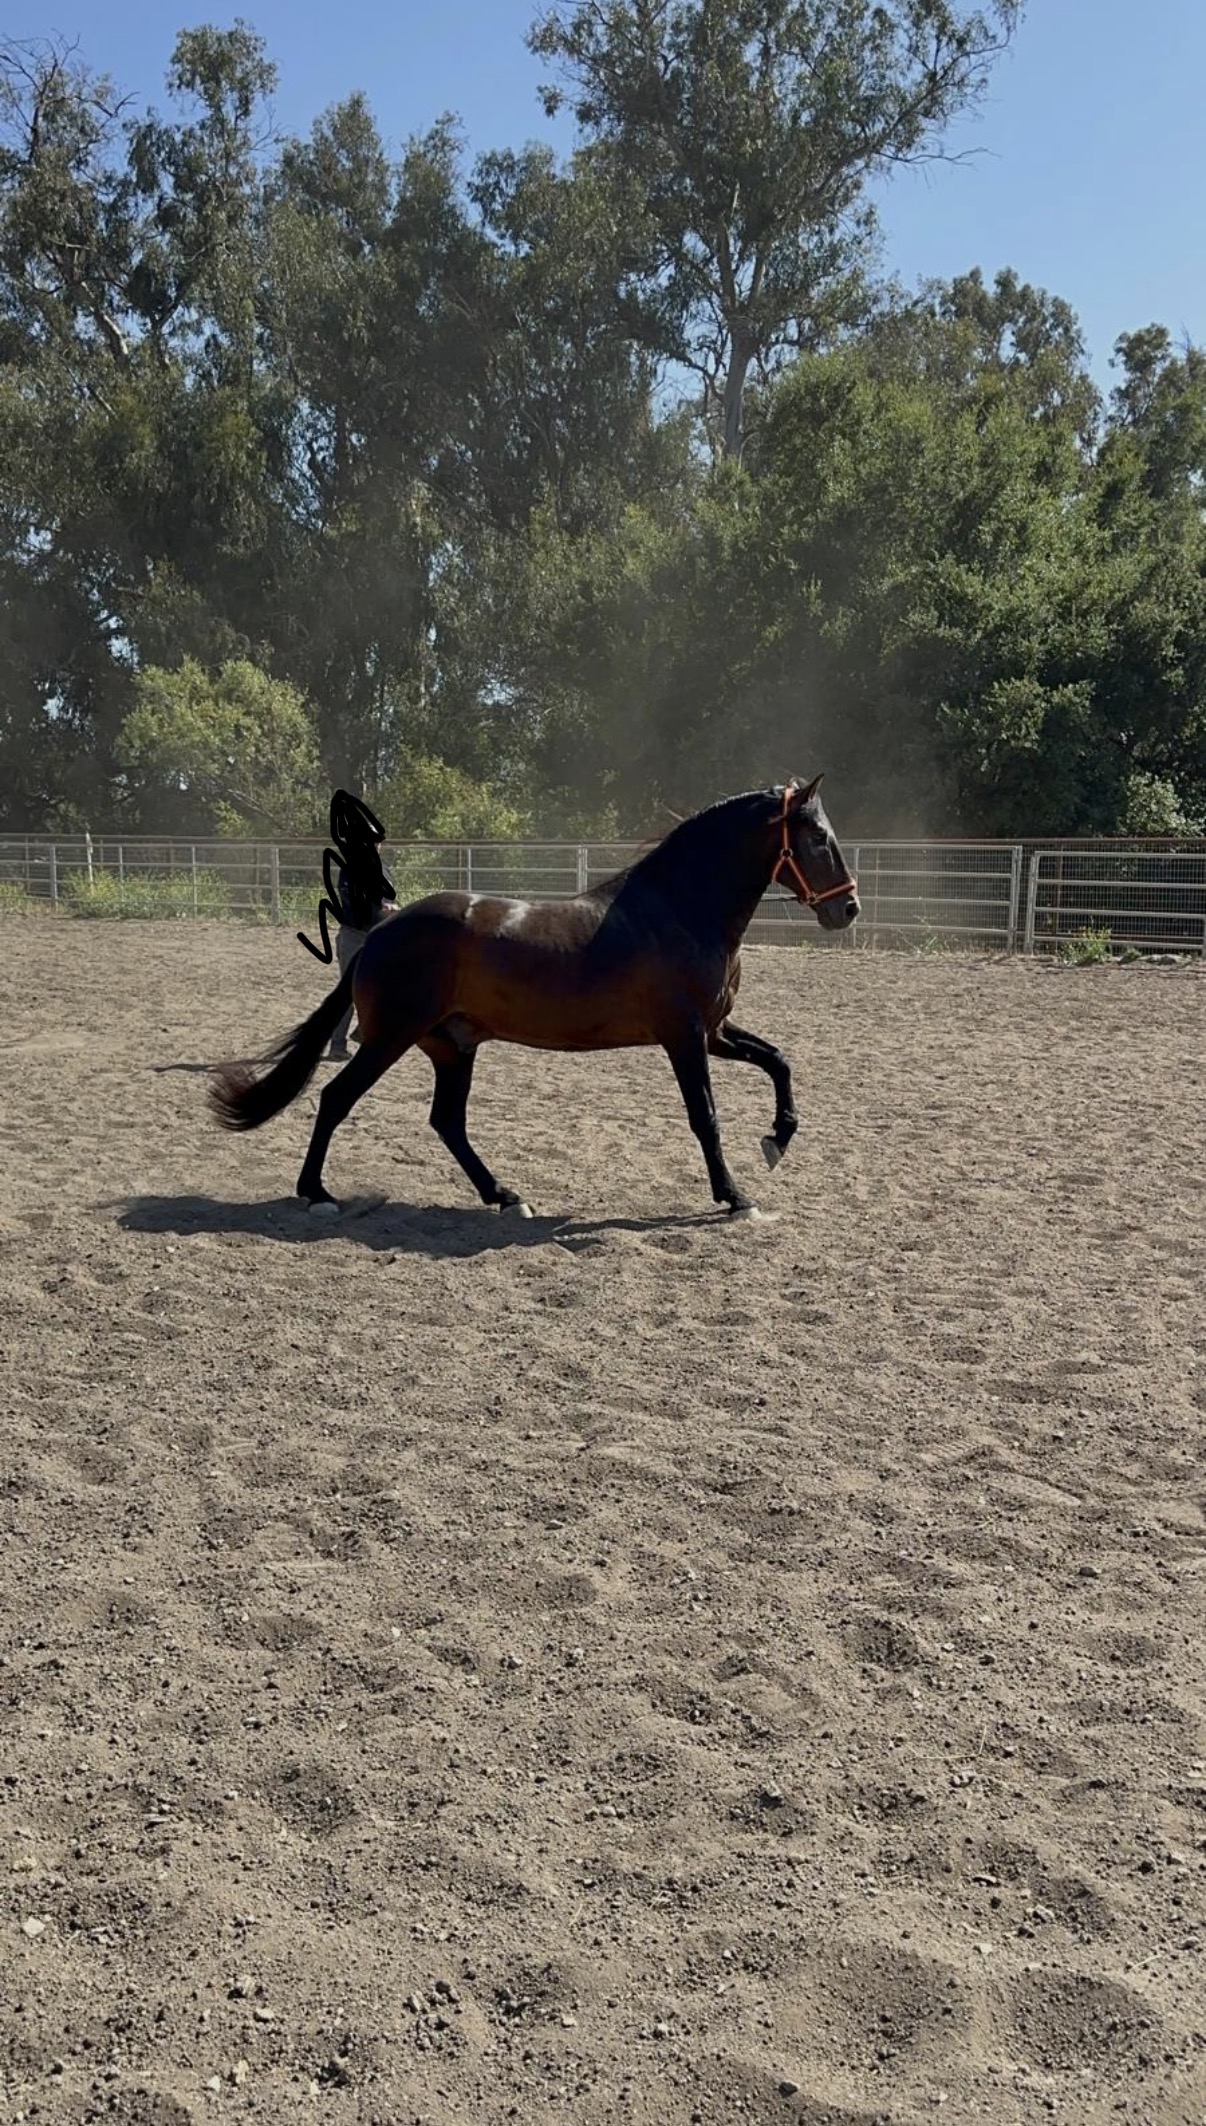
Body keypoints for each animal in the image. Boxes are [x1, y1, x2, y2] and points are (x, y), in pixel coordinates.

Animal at [208, 775, 859, 1221]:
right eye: (817, 838)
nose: (847, 908)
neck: (677, 909)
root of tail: (382, 933)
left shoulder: (715, 1031)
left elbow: (778, 1061)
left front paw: (777, 1139)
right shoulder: (684, 1036)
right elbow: (706, 1116)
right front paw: (734, 1196)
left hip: (451, 1046)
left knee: (447, 1121)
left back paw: (504, 1195)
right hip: (391, 1037)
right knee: (336, 1097)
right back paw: (317, 1193)